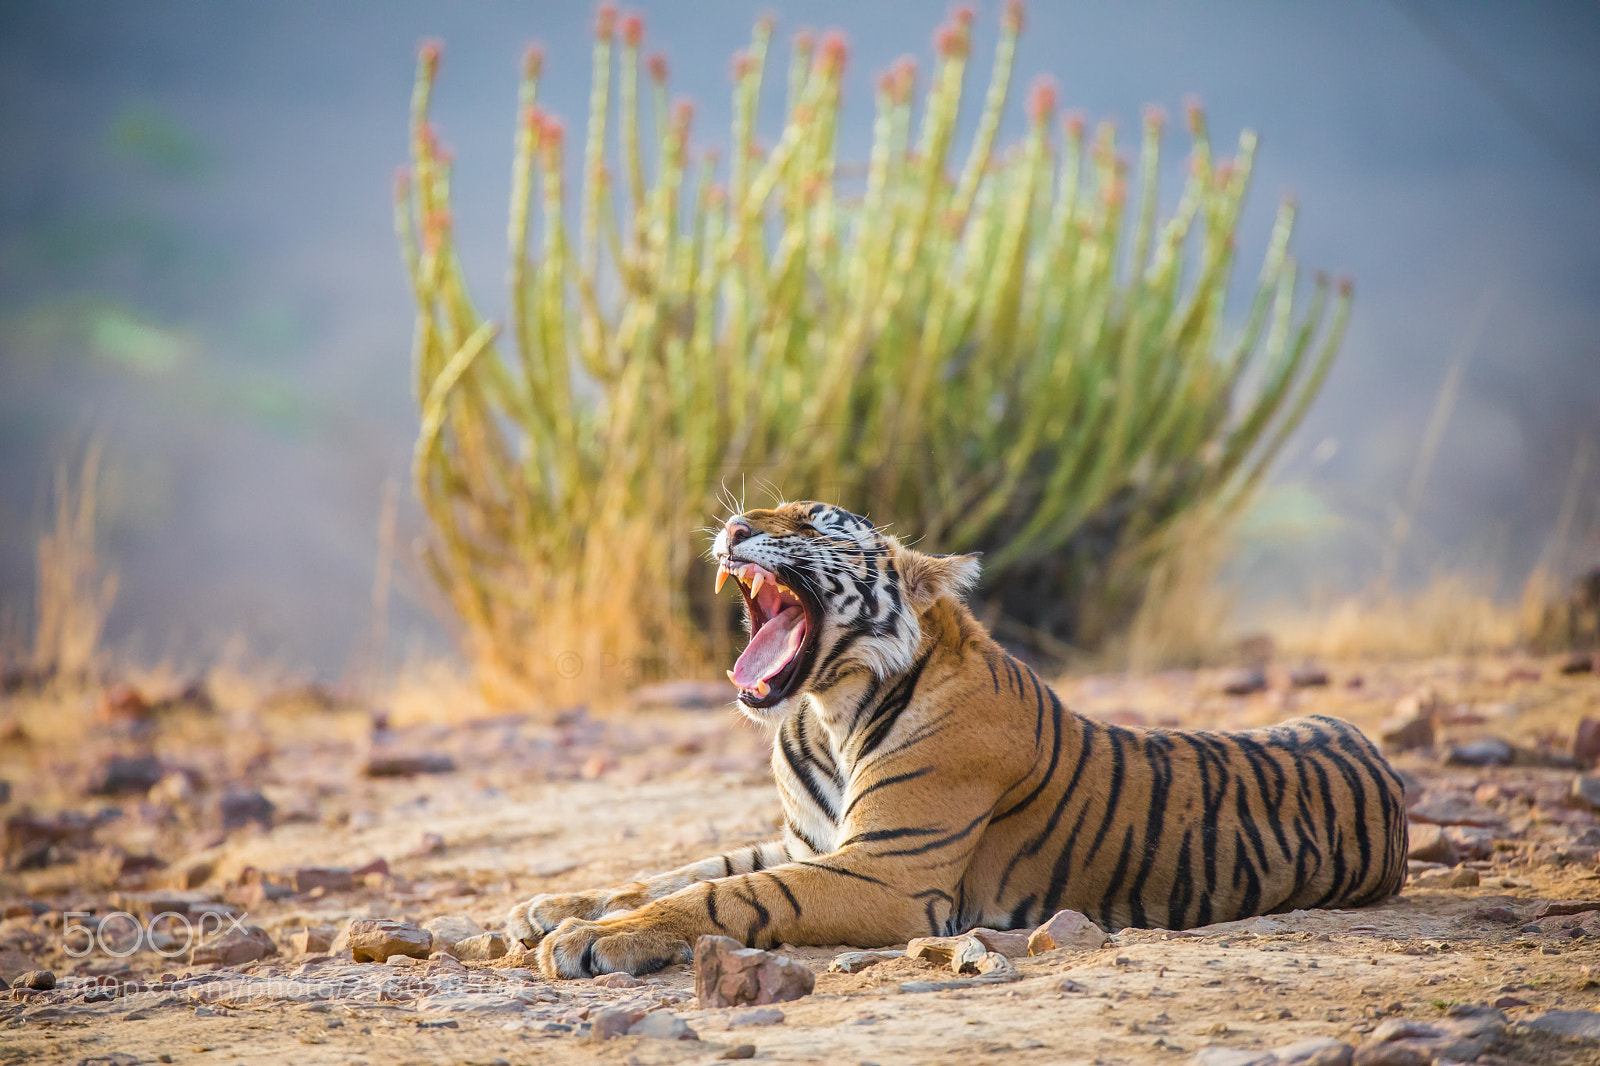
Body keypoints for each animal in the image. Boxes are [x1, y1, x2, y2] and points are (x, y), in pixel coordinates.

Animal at [508, 501, 1408, 978]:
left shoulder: (889, 873)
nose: (732, 528)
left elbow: (726, 895)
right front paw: (550, 907)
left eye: (817, 527)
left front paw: (588, 940)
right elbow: (681, 870)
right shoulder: (810, 840)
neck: (829, 711)